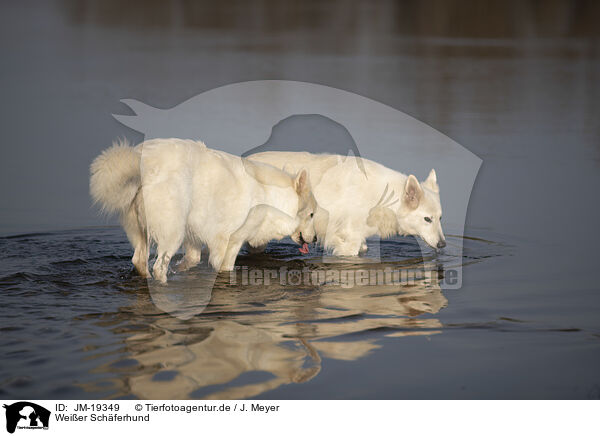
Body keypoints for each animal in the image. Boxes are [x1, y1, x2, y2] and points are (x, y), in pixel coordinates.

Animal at [89, 140, 318, 282]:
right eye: (312, 214)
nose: (315, 239)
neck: (269, 196)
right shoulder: (229, 241)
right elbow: (224, 267)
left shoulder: (195, 238)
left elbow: (192, 260)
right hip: (173, 232)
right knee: (159, 267)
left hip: (141, 231)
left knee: (139, 261)